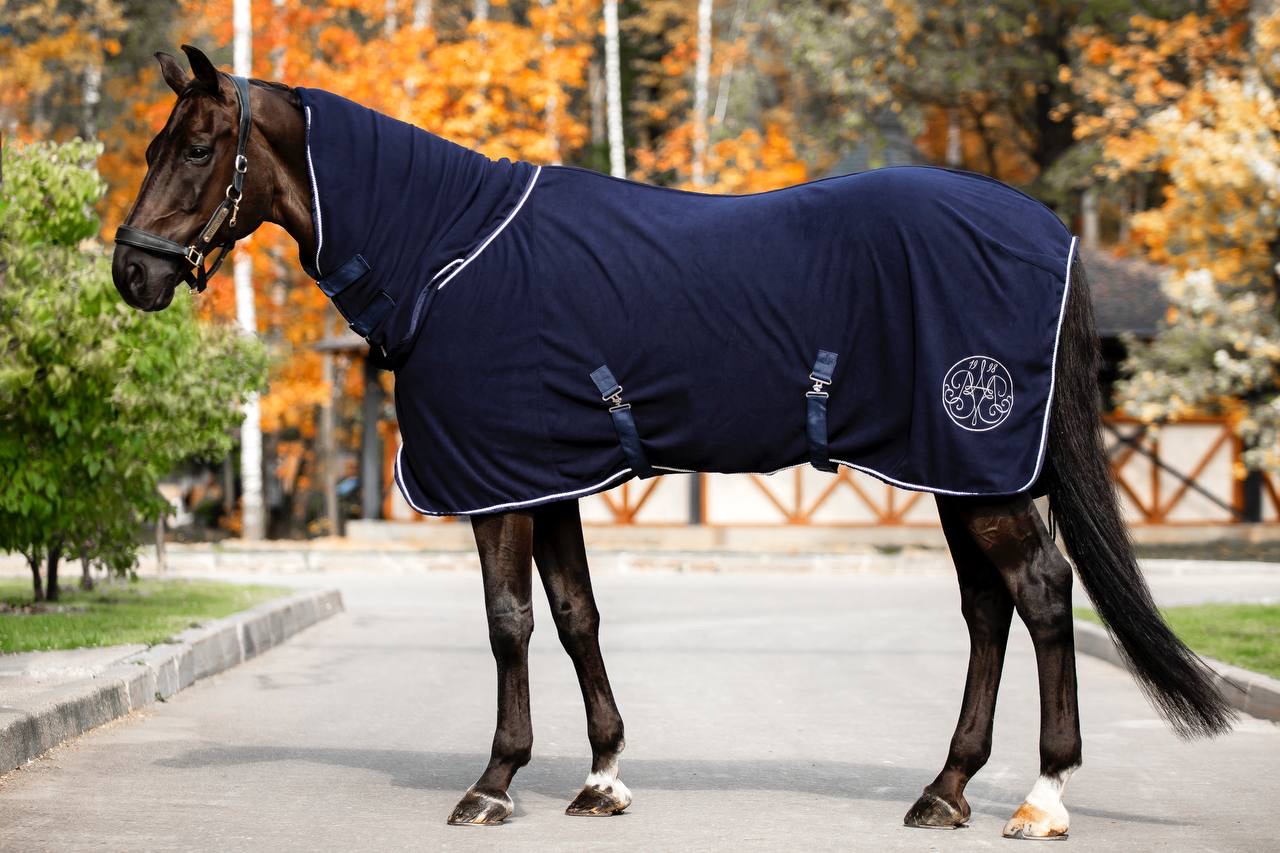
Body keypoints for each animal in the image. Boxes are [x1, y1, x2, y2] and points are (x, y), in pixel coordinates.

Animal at [111, 45, 1234, 838]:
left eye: (200, 147)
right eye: (159, 145)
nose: (133, 271)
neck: (448, 253)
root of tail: (1050, 230)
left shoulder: (494, 487)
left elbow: (508, 623)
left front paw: (493, 781)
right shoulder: (542, 476)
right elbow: (576, 617)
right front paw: (602, 776)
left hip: (980, 465)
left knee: (1039, 593)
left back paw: (1041, 797)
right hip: (953, 472)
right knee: (987, 610)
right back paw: (946, 787)